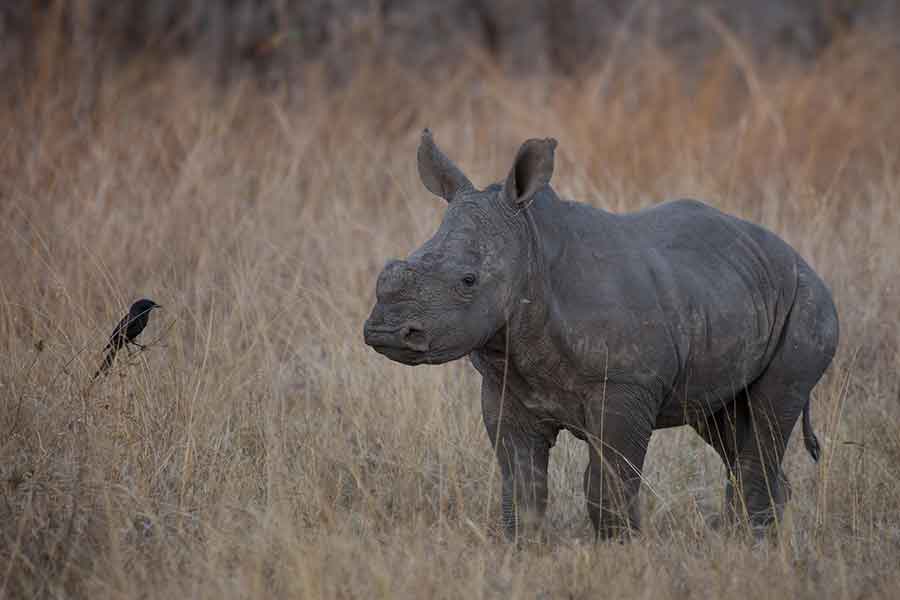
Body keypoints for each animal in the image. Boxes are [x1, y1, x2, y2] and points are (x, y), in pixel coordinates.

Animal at [362, 129, 840, 540]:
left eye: (468, 281)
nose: (386, 331)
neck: (531, 250)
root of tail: (799, 258)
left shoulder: (626, 385)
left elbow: (608, 481)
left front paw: (619, 549)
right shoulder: (505, 386)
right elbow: (521, 482)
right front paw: (522, 548)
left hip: (809, 304)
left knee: (767, 416)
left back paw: (752, 542)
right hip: (731, 290)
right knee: (725, 423)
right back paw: (757, 539)